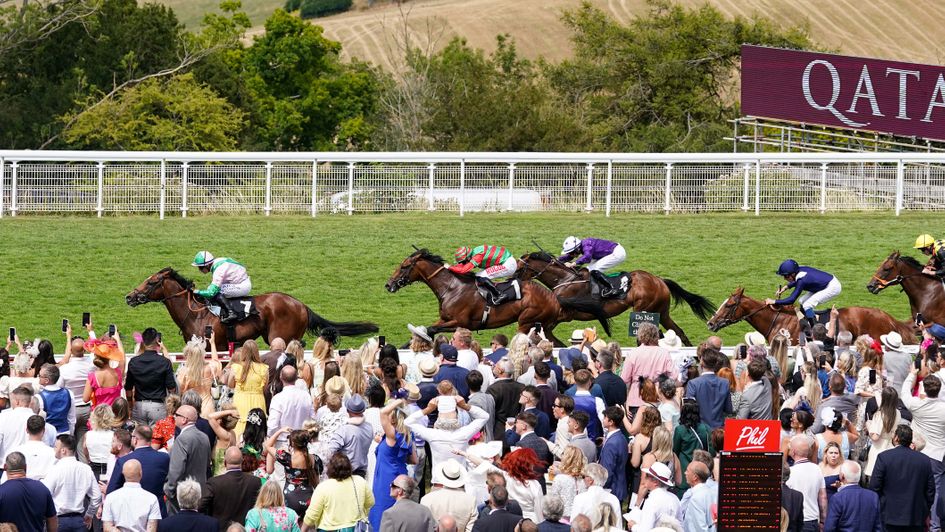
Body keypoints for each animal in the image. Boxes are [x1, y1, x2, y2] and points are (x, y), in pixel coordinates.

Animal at [386, 249, 568, 344]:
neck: (451, 288)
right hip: (544, 326)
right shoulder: (444, 319)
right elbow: (426, 329)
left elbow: (431, 329)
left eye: (404, 266)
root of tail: (554, 298)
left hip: (526, 322)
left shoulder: (461, 322)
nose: (388, 285)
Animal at [520, 250, 712, 344]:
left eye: (521, 267)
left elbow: (547, 330)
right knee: (678, 332)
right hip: (662, 312)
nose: (514, 279)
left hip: (644, 310)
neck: (565, 280)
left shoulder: (565, 313)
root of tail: (659, 280)